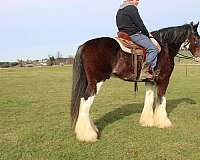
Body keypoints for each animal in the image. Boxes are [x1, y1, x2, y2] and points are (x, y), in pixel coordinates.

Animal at [70, 21, 200, 142]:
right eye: (196, 39)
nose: (198, 57)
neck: (165, 48)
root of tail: (84, 45)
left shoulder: (150, 82)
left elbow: (149, 99)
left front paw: (147, 121)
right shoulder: (164, 80)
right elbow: (161, 100)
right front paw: (164, 122)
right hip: (96, 82)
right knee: (85, 101)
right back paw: (87, 134)